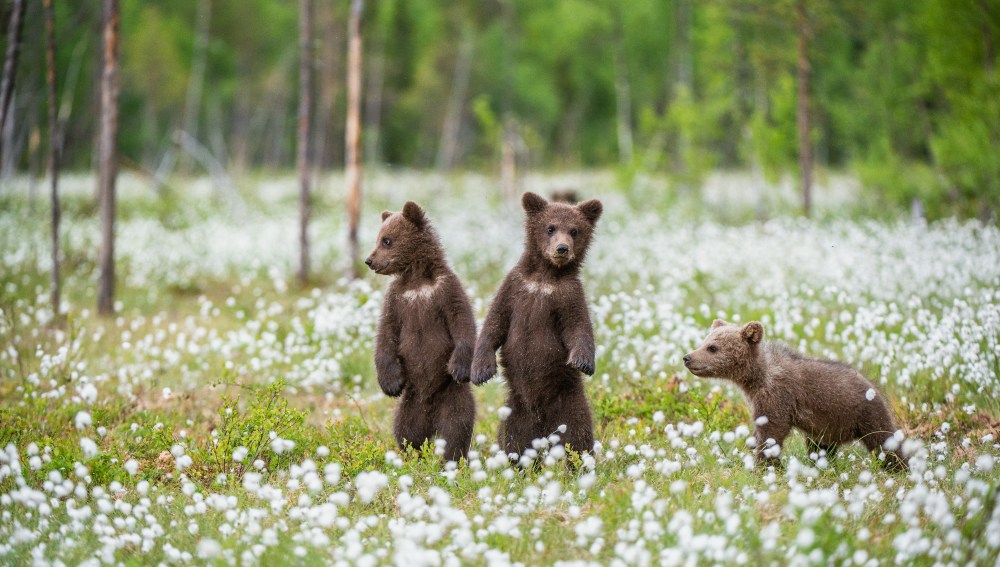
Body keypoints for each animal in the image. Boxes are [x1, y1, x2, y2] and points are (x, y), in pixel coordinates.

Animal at [365, 201, 477, 462]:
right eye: (378, 238)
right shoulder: (397, 300)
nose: (369, 260)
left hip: (452, 395)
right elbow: (386, 335)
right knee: (406, 429)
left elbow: (463, 322)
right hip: (411, 401)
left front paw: (458, 366)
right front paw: (390, 383)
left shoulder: (446, 290)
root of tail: (430, 413)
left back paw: (452, 457)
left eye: (386, 240)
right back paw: (410, 455)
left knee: (457, 425)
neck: (417, 280)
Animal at [471, 191, 603, 460]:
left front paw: (583, 361)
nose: (562, 248)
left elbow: (578, 327)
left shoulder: (567, 296)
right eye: (550, 227)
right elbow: (494, 323)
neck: (544, 278)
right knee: (513, 441)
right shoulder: (515, 288)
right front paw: (481, 370)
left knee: (578, 436)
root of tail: (543, 427)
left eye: (574, 230)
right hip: (515, 410)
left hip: (570, 404)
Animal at [683, 319, 908, 470]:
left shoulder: (777, 396)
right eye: (704, 341)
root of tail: (874, 387)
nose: (687, 357)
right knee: (820, 447)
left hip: (865, 414)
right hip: (827, 427)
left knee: (884, 440)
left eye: (713, 348)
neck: (755, 379)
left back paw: (898, 467)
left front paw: (764, 464)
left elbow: (773, 430)